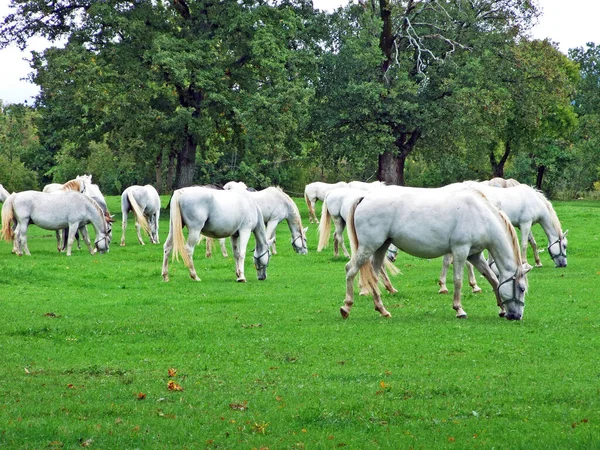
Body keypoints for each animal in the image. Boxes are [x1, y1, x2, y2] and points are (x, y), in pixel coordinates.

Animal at [340, 185, 528, 320]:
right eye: (521, 288)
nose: (516, 316)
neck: (480, 215)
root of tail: (365, 197)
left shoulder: (474, 255)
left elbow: (493, 279)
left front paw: (501, 309)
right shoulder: (460, 250)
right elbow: (458, 280)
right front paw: (459, 309)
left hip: (381, 247)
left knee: (374, 275)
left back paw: (382, 310)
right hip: (368, 247)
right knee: (351, 269)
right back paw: (346, 307)